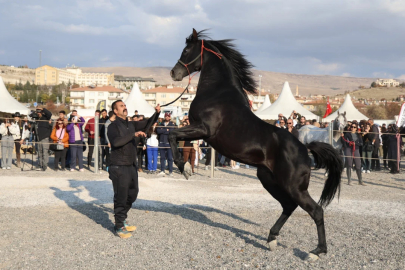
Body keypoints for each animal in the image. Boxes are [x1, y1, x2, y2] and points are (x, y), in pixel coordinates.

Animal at [167, 29, 340, 262]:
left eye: (186, 50)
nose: (173, 73)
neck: (217, 93)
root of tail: (305, 149)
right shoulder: (198, 131)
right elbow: (176, 138)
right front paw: (184, 167)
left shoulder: (203, 129)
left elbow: (171, 134)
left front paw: (183, 168)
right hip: (268, 179)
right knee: (289, 206)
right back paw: (272, 239)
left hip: (293, 186)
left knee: (316, 210)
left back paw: (316, 252)